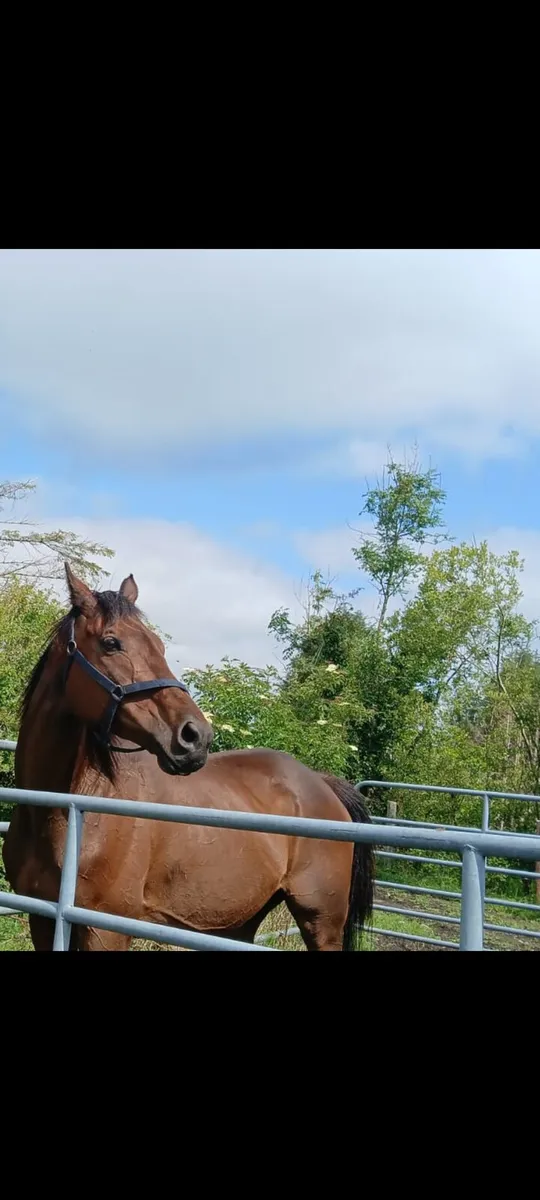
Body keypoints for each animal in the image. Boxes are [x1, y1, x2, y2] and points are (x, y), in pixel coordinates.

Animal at [2, 564, 374, 951]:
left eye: (159, 645)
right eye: (111, 643)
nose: (196, 736)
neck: (69, 810)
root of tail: (323, 784)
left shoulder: (105, 928)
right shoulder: (43, 919)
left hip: (322, 923)